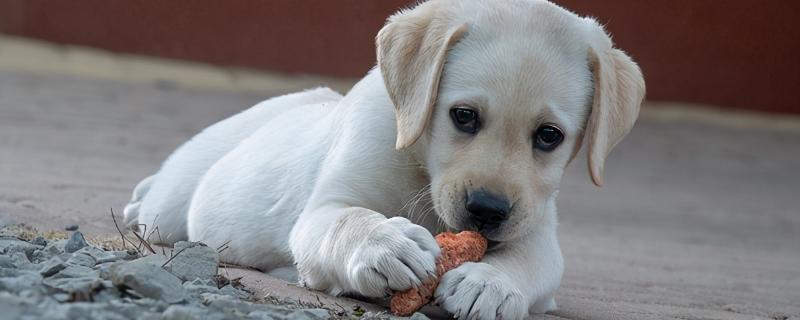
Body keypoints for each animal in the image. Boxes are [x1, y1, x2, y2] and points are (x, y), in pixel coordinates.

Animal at [123, 1, 644, 318]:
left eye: (549, 136)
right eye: (463, 116)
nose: (487, 210)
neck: (420, 166)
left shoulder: (538, 231)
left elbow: (529, 262)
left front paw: (491, 283)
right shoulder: (322, 211)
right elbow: (348, 220)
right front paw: (385, 245)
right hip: (174, 202)